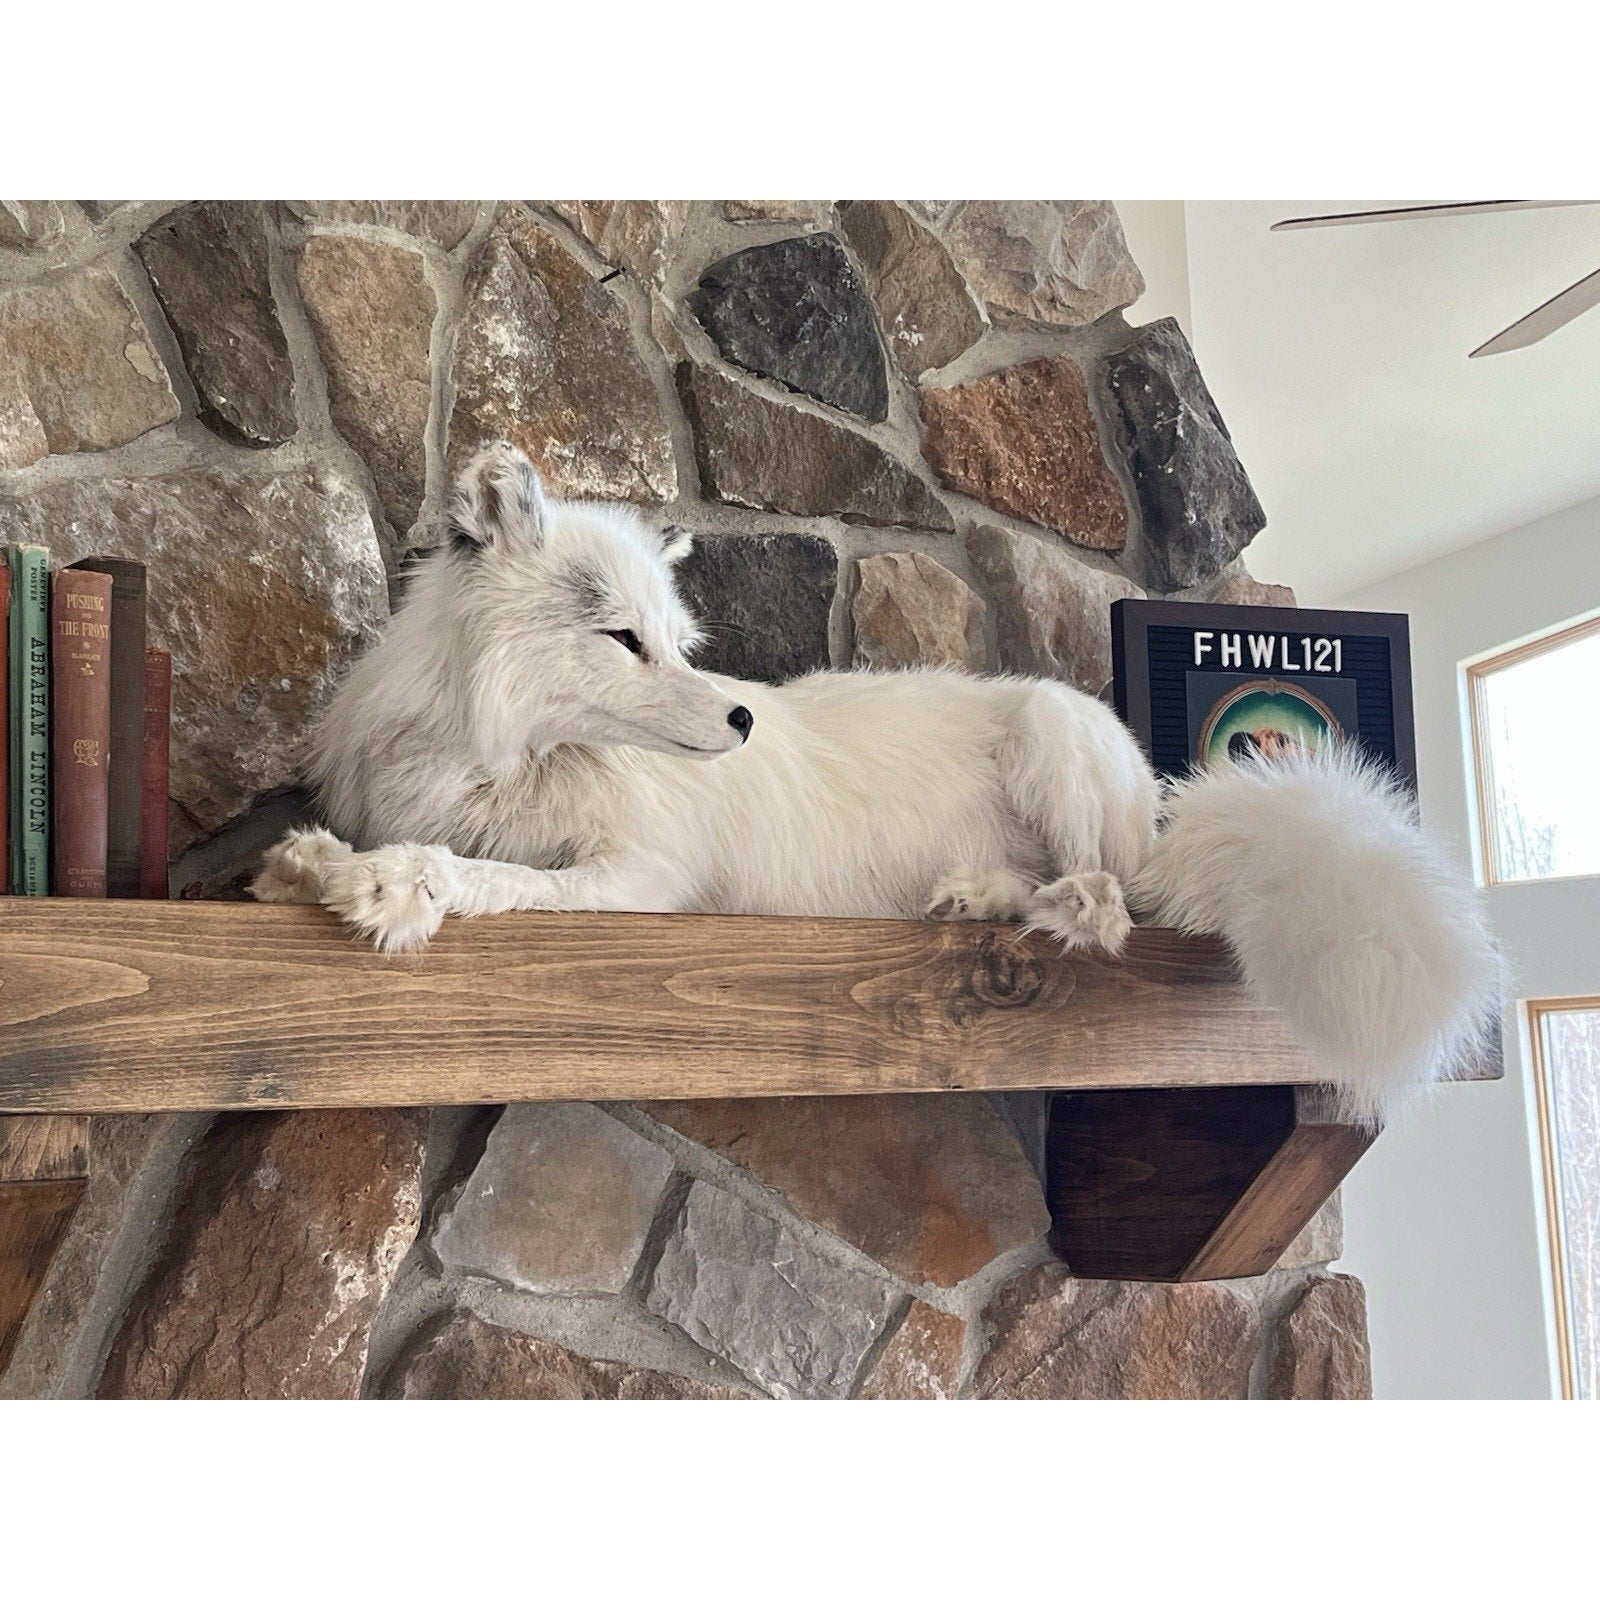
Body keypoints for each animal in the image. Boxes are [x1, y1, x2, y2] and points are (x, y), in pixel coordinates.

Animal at [252, 441, 1498, 1120]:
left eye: (678, 640)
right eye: (623, 640)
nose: (744, 716)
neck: (498, 756)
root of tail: (1166, 814)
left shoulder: (644, 882)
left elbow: (494, 881)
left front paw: (388, 886)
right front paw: (310, 865)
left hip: (1055, 741)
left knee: (1119, 905)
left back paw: (1040, 903)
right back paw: (973, 894)